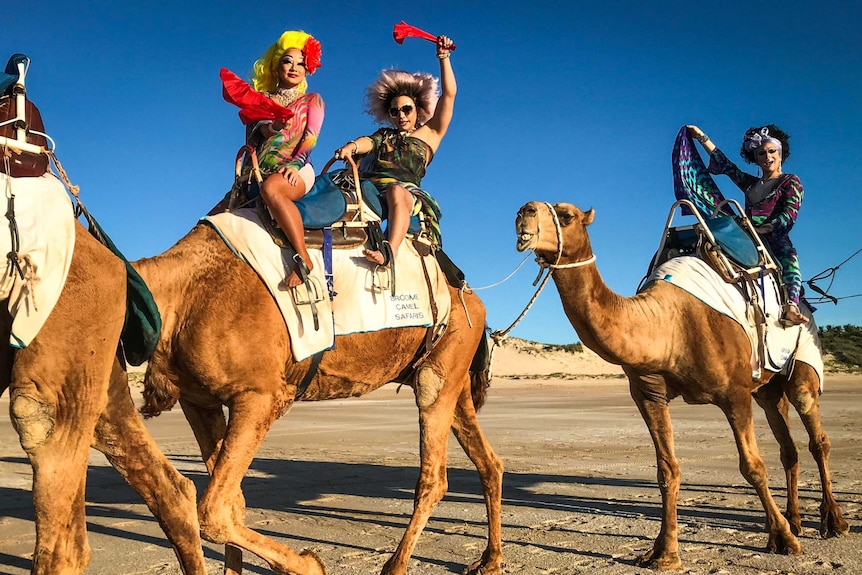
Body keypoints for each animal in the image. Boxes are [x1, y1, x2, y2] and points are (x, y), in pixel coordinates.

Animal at [137, 223, 506, 575]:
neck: (182, 293)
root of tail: (475, 300)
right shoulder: (199, 401)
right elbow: (233, 503)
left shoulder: (261, 396)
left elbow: (214, 512)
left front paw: (311, 564)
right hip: (454, 377)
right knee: (488, 461)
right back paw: (490, 560)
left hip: (441, 366)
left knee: (434, 478)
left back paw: (396, 566)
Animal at [512, 202, 852, 572]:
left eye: (567, 216)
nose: (524, 212)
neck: (668, 324)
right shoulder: (648, 394)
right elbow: (667, 470)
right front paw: (664, 553)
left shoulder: (734, 392)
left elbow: (753, 467)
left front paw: (783, 540)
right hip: (767, 388)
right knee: (787, 446)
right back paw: (795, 520)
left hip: (802, 363)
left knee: (817, 438)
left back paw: (833, 522)